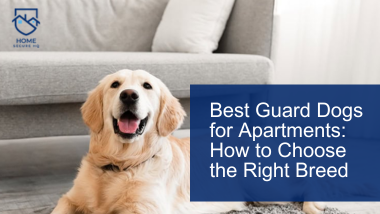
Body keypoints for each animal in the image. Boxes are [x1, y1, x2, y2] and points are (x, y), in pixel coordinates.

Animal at [50, 69, 326, 213]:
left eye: (147, 86)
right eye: (115, 84)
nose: (129, 95)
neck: (121, 163)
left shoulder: (145, 208)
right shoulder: (70, 199)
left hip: (265, 185)